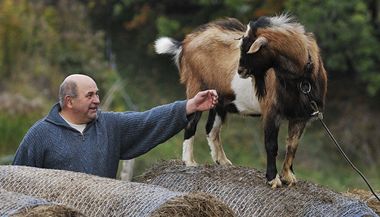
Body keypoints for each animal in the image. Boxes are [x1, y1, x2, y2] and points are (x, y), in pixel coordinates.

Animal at [154, 15, 326, 188]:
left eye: (250, 48)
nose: (240, 70)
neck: (301, 81)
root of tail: (185, 43)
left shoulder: (301, 116)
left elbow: (292, 145)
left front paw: (288, 176)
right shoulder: (271, 112)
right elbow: (271, 145)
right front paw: (273, 179)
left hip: (217, 100)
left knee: (211, 128)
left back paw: (223, 161)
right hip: (196, 88)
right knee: (191, 123)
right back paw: (189, 162)